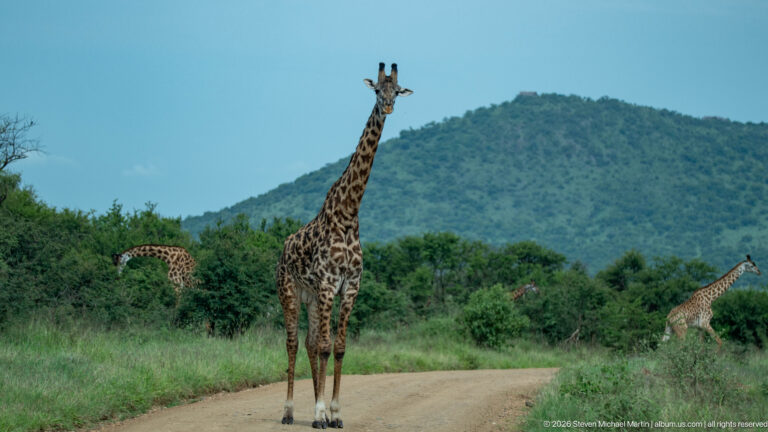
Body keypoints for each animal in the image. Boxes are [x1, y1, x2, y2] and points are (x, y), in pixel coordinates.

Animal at [276, 62, 412, 429]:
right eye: (377, 90)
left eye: (397, 91)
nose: (388, 107)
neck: (349, 212)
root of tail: (282, 250)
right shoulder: (327, 284)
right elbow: (325, 346)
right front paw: (320, 413)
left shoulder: (350, 286)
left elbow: (337, 347)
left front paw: (334, 413)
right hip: (290, 292)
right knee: (293, 343)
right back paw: (289, 412)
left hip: (310, 298)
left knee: (310, 343)